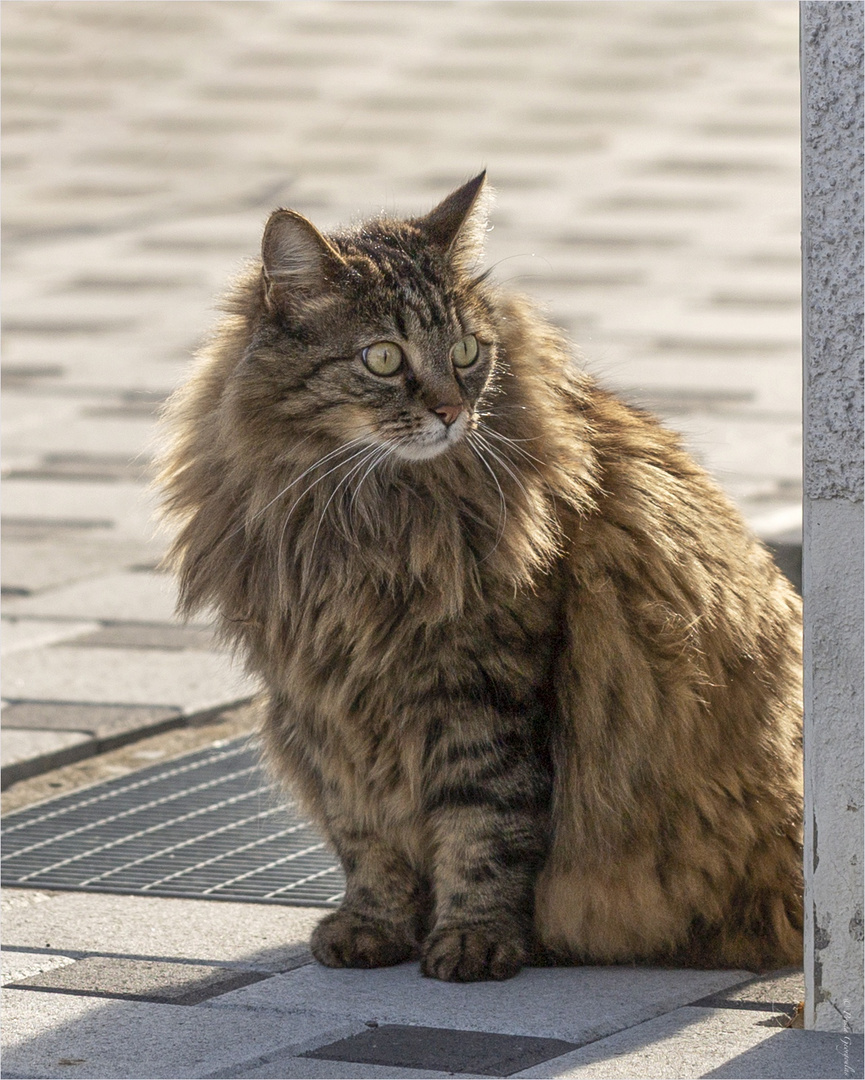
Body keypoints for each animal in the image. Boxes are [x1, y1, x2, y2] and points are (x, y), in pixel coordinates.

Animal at [156, 174, 803, 980]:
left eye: (465, 350)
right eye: (382, 358)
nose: (450, 410)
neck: (364, 517)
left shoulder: (484, 683)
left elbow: (483, 832)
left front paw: (473, 940)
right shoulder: (324, 695)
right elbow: (365, 837)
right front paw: (372, 927)